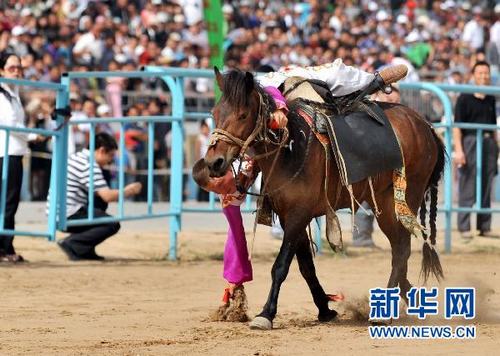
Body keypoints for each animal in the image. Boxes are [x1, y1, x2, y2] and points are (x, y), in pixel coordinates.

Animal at [201, 68, 444, 330]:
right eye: (215, 113)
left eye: (243, 115)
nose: (214, 162)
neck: (290, 148)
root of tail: (426, 126)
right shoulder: (289, 217)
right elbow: (306, 266)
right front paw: (324, 308)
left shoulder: (299, 214)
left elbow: (281, 266)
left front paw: (266, 313)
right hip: (385, 203)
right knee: (400, 248)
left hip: (405, 198)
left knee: (401, 250)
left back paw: (385, 313)